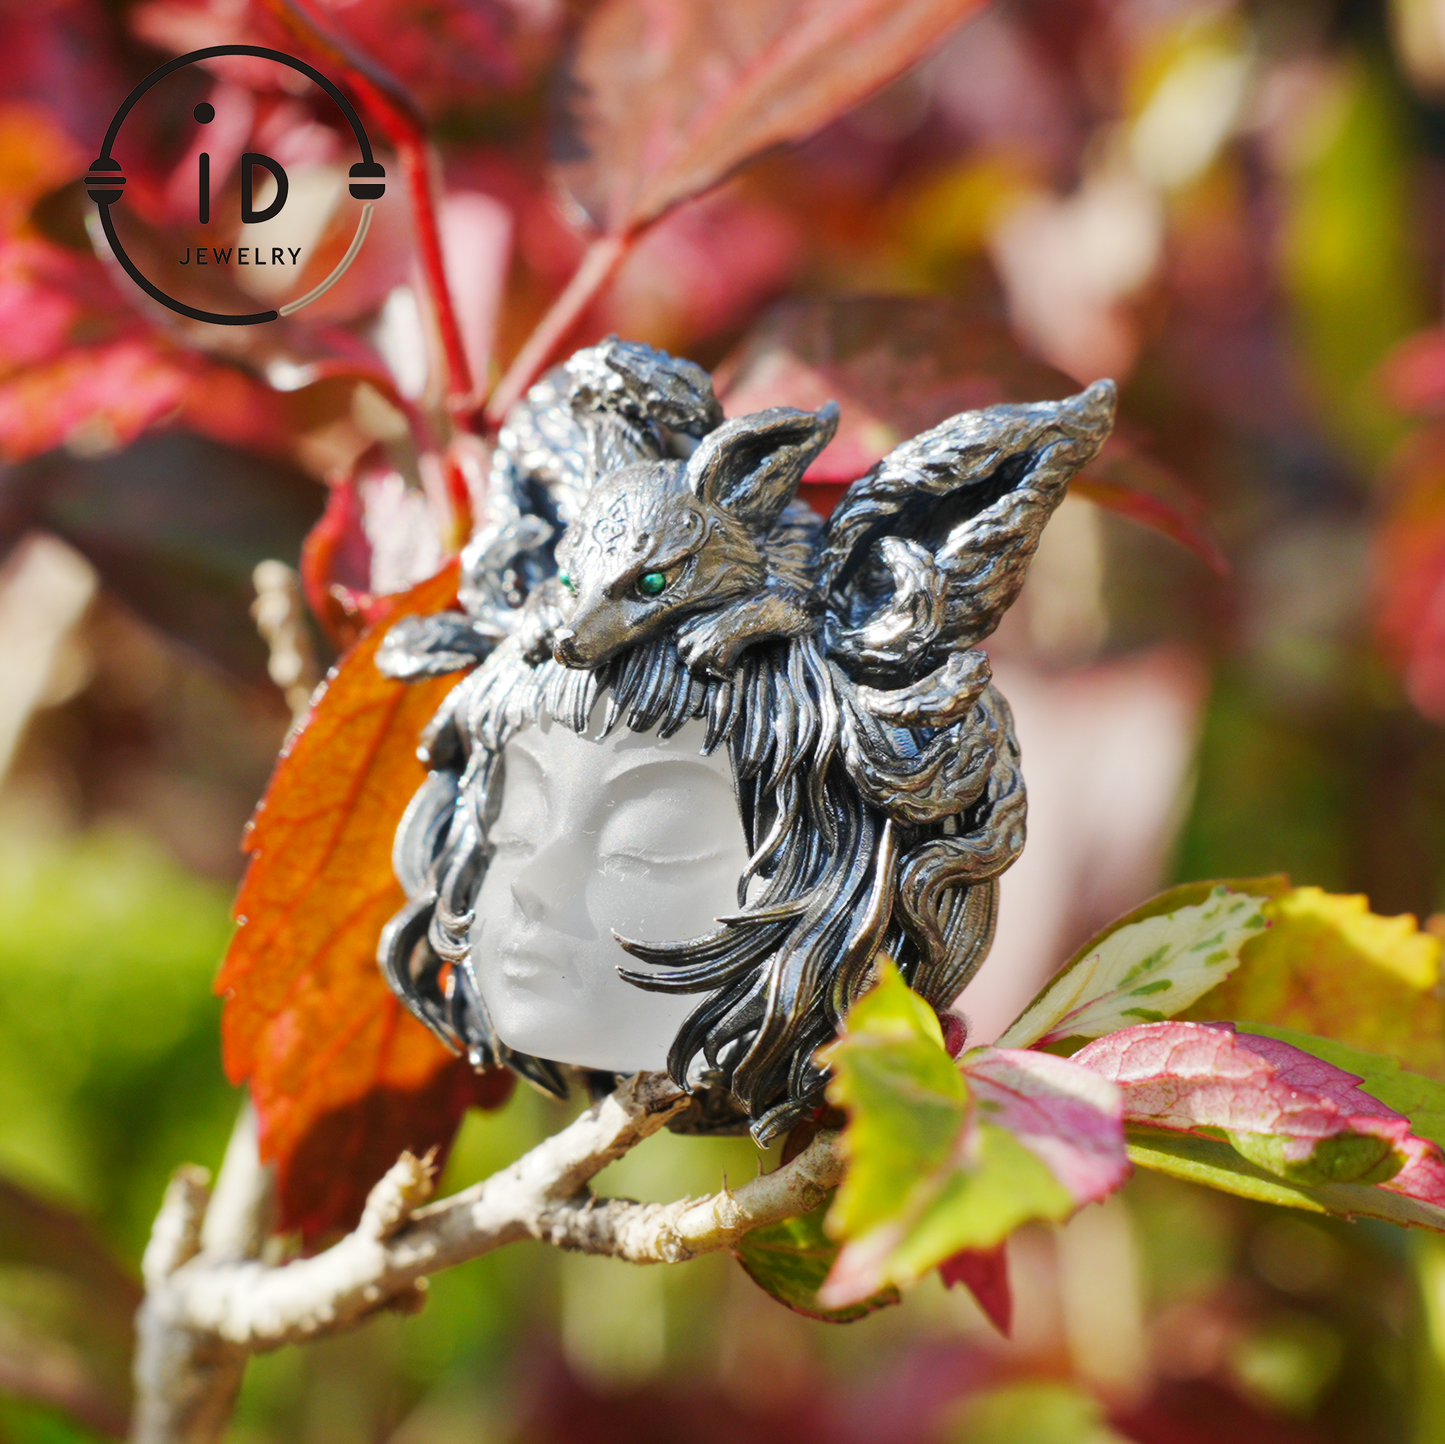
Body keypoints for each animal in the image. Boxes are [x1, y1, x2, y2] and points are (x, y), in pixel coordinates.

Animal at [550, 402, 840, 677]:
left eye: (653, 582)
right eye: (566, 580)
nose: (565, 643)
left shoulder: (807, 573)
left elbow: (798, 603)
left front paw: (708, 637)